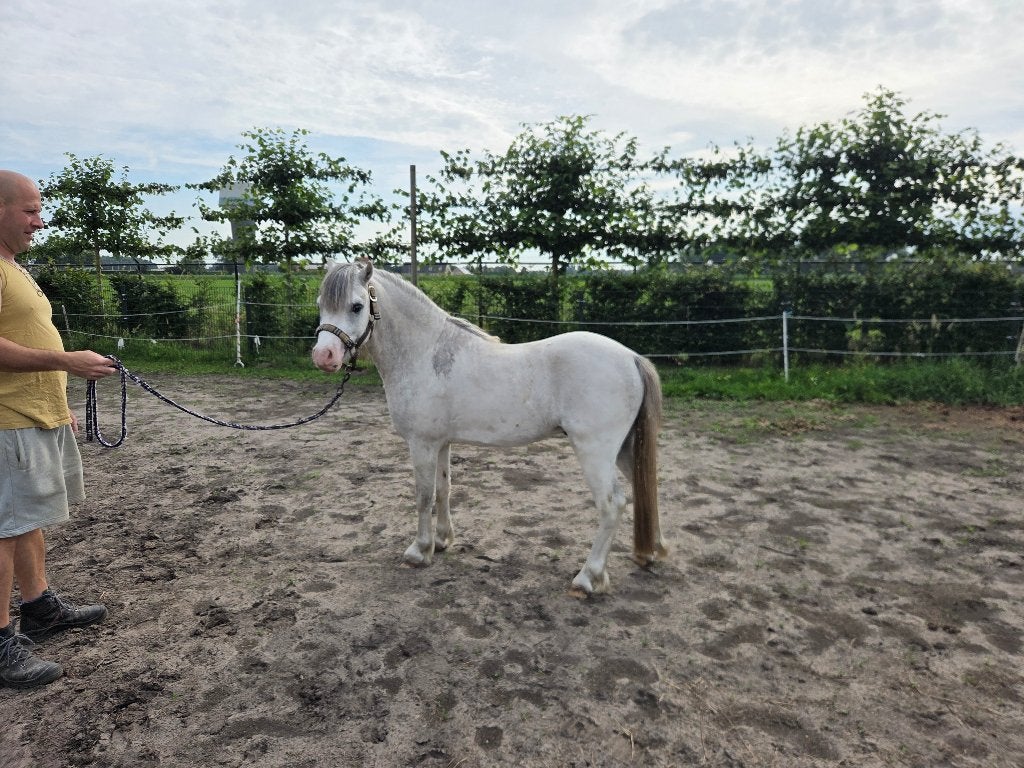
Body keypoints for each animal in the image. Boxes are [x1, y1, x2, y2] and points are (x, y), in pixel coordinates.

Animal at [311, 260, 667, 594]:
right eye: (320, 304)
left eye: (357, 306)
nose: (323, 356)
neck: (425, 353)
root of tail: (632, 358)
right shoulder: (441, 443)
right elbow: (444, 489)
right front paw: (442, 541)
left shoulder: (422, 444)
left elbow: (423, 496)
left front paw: (419, 551)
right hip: (624, 450)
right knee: (643, 489)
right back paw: (651, 553)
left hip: (595, 452)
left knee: (611, 504)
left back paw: (588, 578)